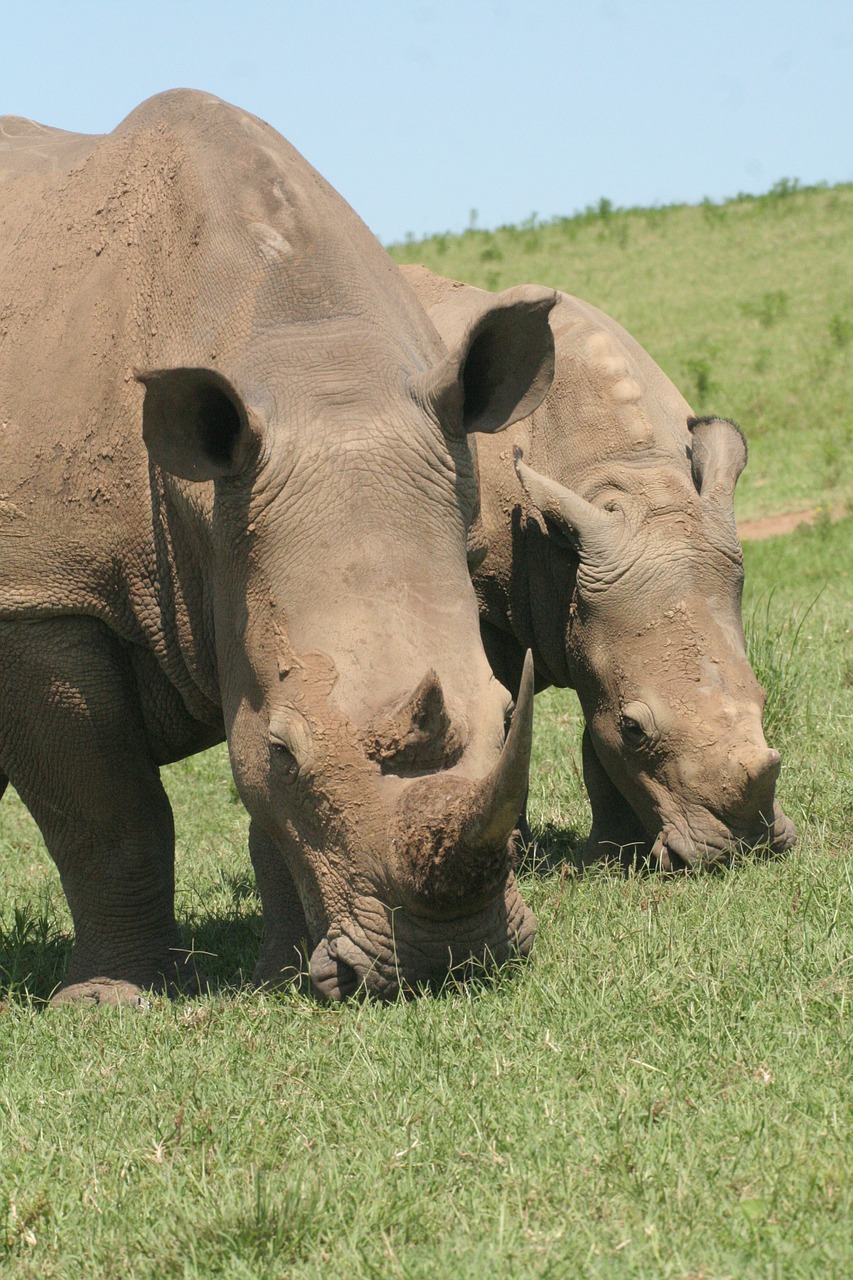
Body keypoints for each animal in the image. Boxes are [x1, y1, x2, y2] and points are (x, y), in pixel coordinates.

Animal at [0, 94, 558, 1003]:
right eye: (287, 750)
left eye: (510, 716)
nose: (447, 960)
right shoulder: (40, 596)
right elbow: (108, 818)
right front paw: (109, 1001)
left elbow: (268, 815)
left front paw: (286, 974)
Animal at [402, 267, 794, 870]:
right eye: (635, 729)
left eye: (764, 700)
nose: (742, 849)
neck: (628, 475)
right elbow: (504, 714)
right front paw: (512, 852)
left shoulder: (599, 598)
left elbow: (593, 730)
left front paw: (613, 856)